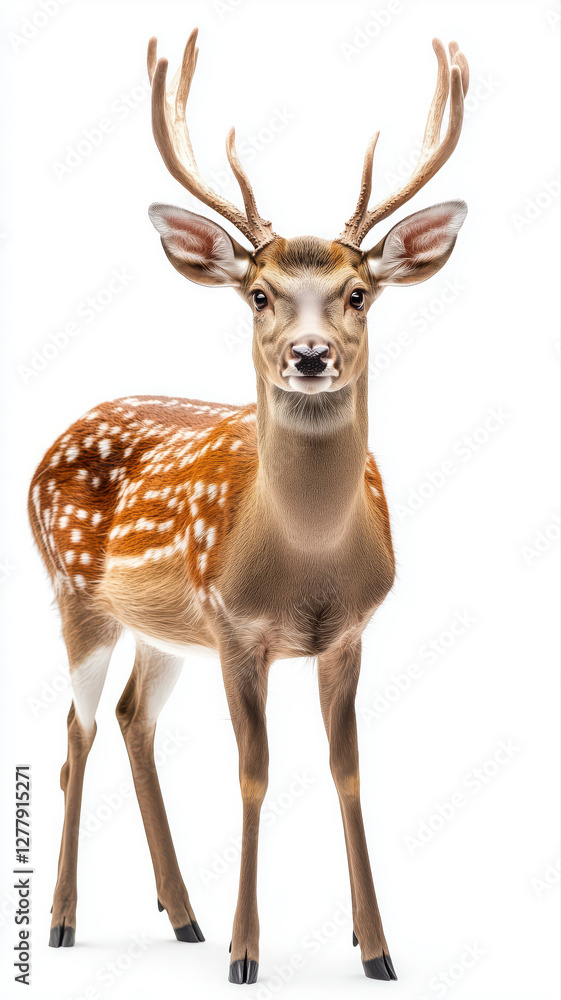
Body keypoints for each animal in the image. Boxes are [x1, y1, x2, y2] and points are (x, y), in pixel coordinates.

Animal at [28, 29, 468, 984]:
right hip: (75, 593)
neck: (304, 568)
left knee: (132, 718)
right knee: (77, 729)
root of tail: (53, 440)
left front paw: (376, 949)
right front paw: (245, 953)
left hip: (161, 629)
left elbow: (346, 770)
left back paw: (182, 915)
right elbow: (254, 772)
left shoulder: (349, 632)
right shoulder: (235, 624)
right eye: (259, 292)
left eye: (357, 293)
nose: (308, 354)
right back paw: (65, 921)